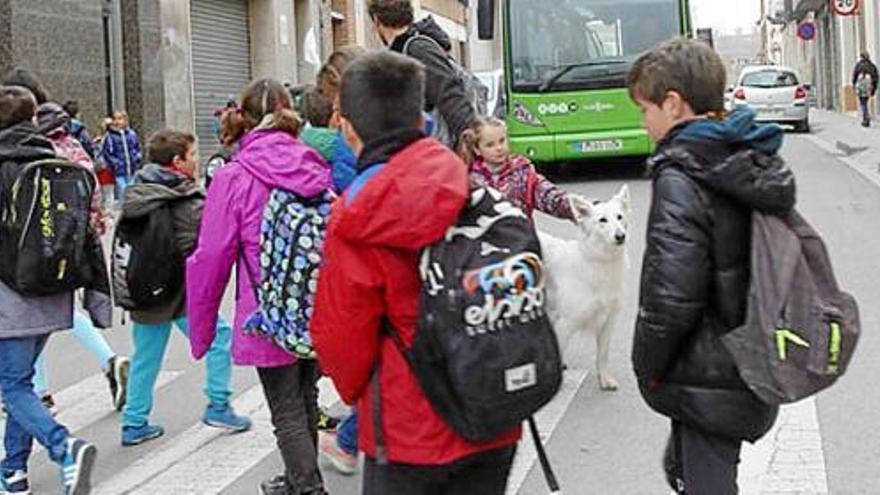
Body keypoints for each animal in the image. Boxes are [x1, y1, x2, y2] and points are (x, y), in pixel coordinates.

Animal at [540, 186, 628, 392]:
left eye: (619, 217)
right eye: (602, 220)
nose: (620, 236)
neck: (598, 261)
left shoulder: (608, 322)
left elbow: (602, 356)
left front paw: (604, 379)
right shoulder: (564, 325)